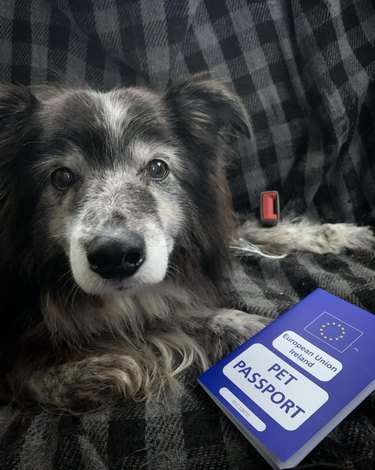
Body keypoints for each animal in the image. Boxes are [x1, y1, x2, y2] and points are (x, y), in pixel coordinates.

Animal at [0, 79, 374, 410]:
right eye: (62, 176)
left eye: (158, 168)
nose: (115, 257)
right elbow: (28, 373)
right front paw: (100, 372)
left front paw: (344, 235)